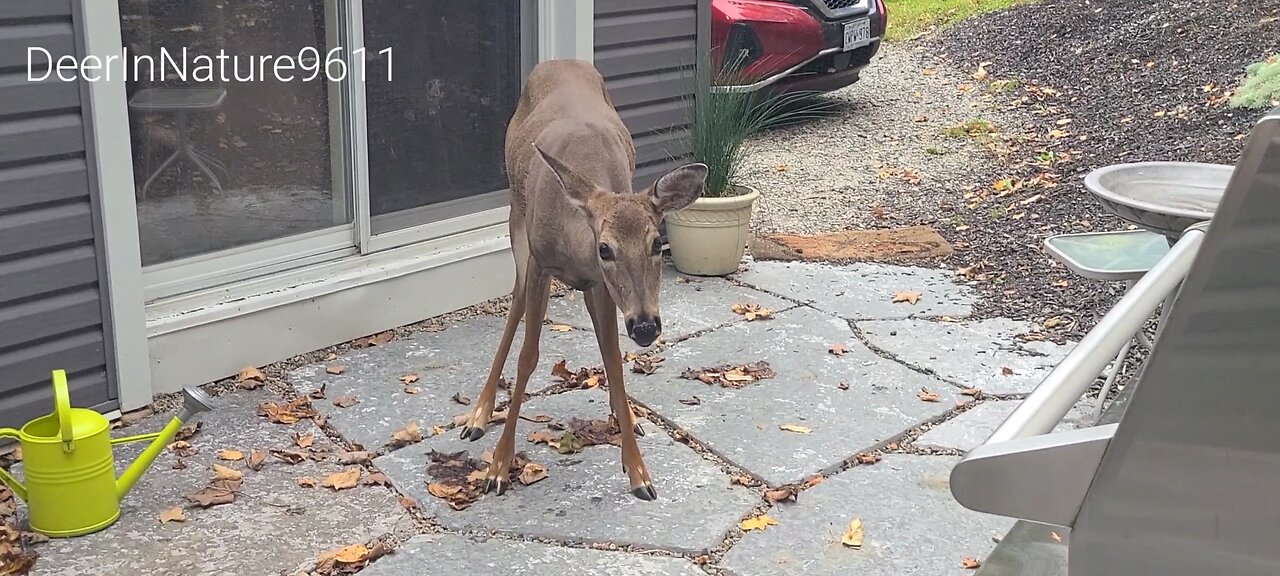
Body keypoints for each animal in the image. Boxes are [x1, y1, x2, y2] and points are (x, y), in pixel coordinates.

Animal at [455, 58, 706, 499]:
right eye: (605, 248)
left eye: (658, 242)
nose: (646, 326)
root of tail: (559, 61)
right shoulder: (541, 264)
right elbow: (527, 357)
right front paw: (498, 467)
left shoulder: (603, 286)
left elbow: (614, 358)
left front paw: (638, 471)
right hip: (516, 223)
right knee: (514, 304)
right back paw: (478, 416)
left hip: (592, 288)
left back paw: (625, 415)